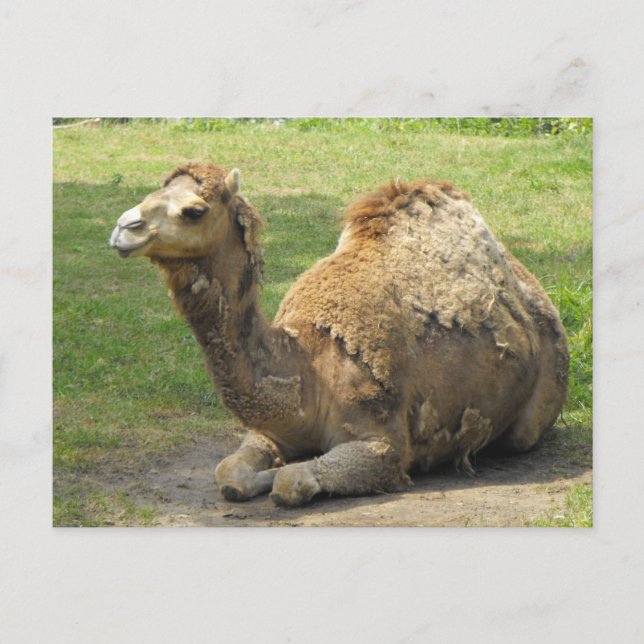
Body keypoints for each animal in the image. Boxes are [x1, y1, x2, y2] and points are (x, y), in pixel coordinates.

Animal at [110, 162, 569, 507]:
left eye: (194, 210)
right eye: (153, 192)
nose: (123, 228)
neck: (308, 364)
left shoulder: (383, 444)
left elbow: (292, 482)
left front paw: (281, 477)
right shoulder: (272, 431)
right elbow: (230, 474)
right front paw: (260, 475)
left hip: (540, 400)